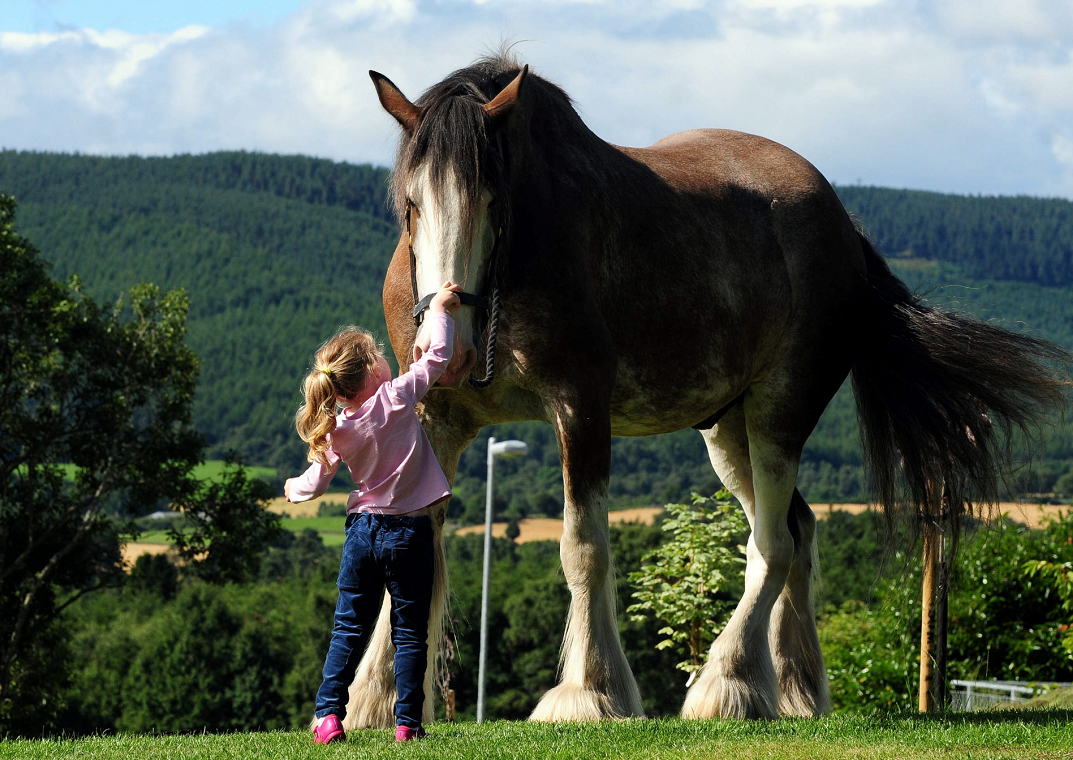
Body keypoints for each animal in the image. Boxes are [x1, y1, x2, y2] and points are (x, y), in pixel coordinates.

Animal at [336, 53, 1073, 725]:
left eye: (494, 202)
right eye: (410, 204)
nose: (451, 348)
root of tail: (844, 228)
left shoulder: (580, 409)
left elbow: (584, 547)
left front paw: (592, 692)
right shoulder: (437, 422)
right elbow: (414, 545)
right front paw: (376, 699)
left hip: (778, 416)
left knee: (772, 546)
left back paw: (731, 682)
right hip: (727, 431)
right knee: (797, 531)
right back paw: (793, 689)